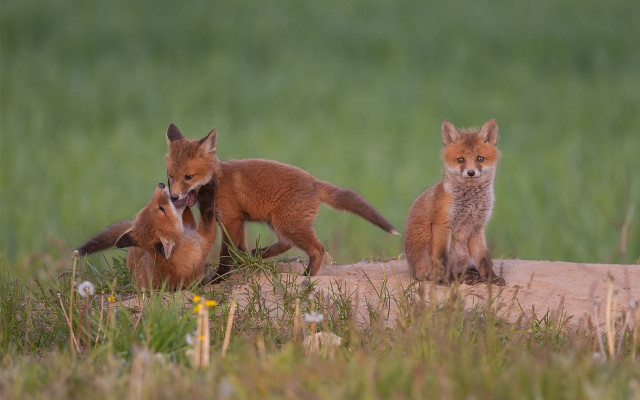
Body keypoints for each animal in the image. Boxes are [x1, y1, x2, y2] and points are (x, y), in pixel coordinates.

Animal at [164, 123, 398, 279]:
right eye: (171, 176)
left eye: (188, 177)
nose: (174, 197)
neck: (218, 180)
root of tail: (314, 182)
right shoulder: (238, 220)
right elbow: (239, 248)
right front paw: (244, 264)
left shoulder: (231, 219)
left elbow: (226, 253)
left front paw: (219, 277)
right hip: (278, 223)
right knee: (287, 243)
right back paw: (260, 254)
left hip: (287, 224)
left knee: (318, 248)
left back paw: (307, 276)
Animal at [404, 119, 505, 285]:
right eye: (460, 160)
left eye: (480, 159)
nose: (470, 173)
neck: (471, 203)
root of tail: (414, 271)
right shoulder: (443, 225)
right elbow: (441, 258)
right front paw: (444, 280)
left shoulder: (477, 228)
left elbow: (483, 258)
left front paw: (491, 278)